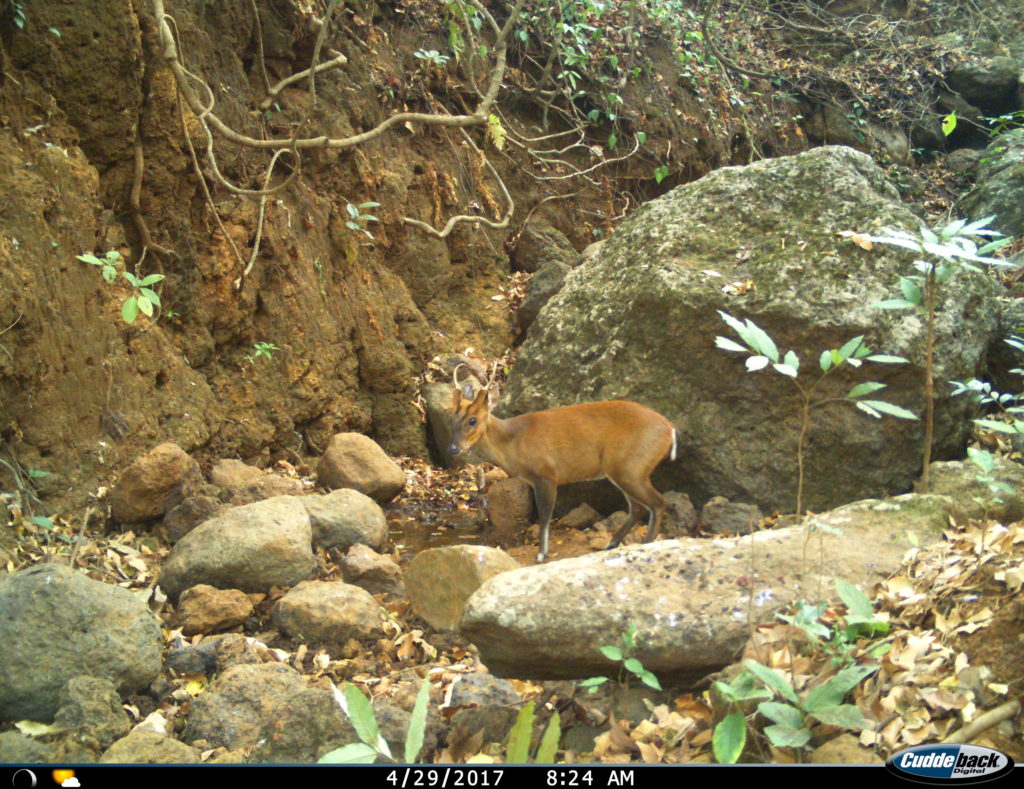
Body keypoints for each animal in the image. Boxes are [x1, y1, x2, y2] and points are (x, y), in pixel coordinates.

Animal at [450, 368, 675, 560]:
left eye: (472, 420)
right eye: (451, 418)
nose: (453, 448)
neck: (513, 443)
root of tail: (670, 428)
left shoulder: (546, 474)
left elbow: (545, 515)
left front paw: (541, 554)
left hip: (632, 466)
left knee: (658, 503)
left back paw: (646, 544)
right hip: (625, 470)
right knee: (638, 507)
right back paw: (612, 543)